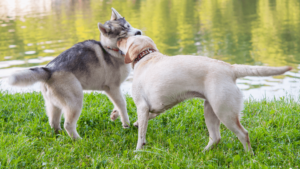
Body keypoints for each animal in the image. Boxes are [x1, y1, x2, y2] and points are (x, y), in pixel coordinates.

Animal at [7, 7, 142, 139]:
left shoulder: (112, 90)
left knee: (53, 122)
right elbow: (122, 104)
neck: (110, 50)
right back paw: (79, 140)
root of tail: (50, 70)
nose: (139, 33)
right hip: (75, 100)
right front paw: (126, 124)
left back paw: (59, 135)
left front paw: (114, 114)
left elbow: (118, 103)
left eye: (129, 26)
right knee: (68, 124)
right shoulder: (112, 87)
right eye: (123, 36)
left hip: (53, 104)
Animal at [117, 35, 290, 152]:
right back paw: (203, 152)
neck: (146, 56)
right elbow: (146, 120)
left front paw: (138, 152)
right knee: (216, 137)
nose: (118, 39)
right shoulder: (155, 107)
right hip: (210, 110)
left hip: (225, 112)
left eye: (126, 40)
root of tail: (231, 68)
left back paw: (249, 157)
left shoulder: (142, 106)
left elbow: (141, 136)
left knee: (243, 134)